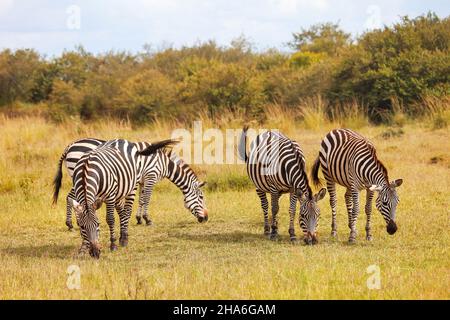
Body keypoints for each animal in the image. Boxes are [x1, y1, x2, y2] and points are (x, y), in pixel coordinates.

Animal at [52, 138, 207, 230]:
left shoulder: (142, 180)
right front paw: (147, 219)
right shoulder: (151, 176)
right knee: (71, 197)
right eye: (201, 197)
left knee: (71, 197)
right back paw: (71, 224)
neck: (163, 162)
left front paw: (139, 219)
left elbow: (141, 199)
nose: (206, 218)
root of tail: (70, 145)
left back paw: (74, 223)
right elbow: (147, 199)